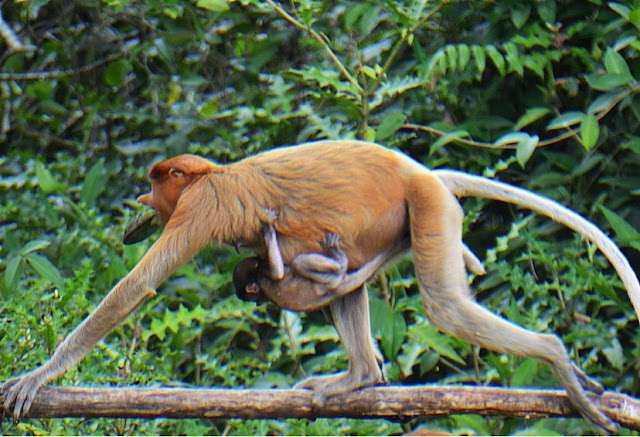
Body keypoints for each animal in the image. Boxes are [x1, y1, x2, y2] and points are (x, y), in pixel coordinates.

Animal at [2, 141, 636, 430]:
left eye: (159, 184)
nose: (141, 200)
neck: (213, 174)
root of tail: (423, 171)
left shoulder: (201, 208)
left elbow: (136, 288)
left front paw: (38, 377)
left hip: (428, 206)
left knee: (446, 307)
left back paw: (555, 358)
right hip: (397, 221)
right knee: (349, 286)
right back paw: (360, 377)